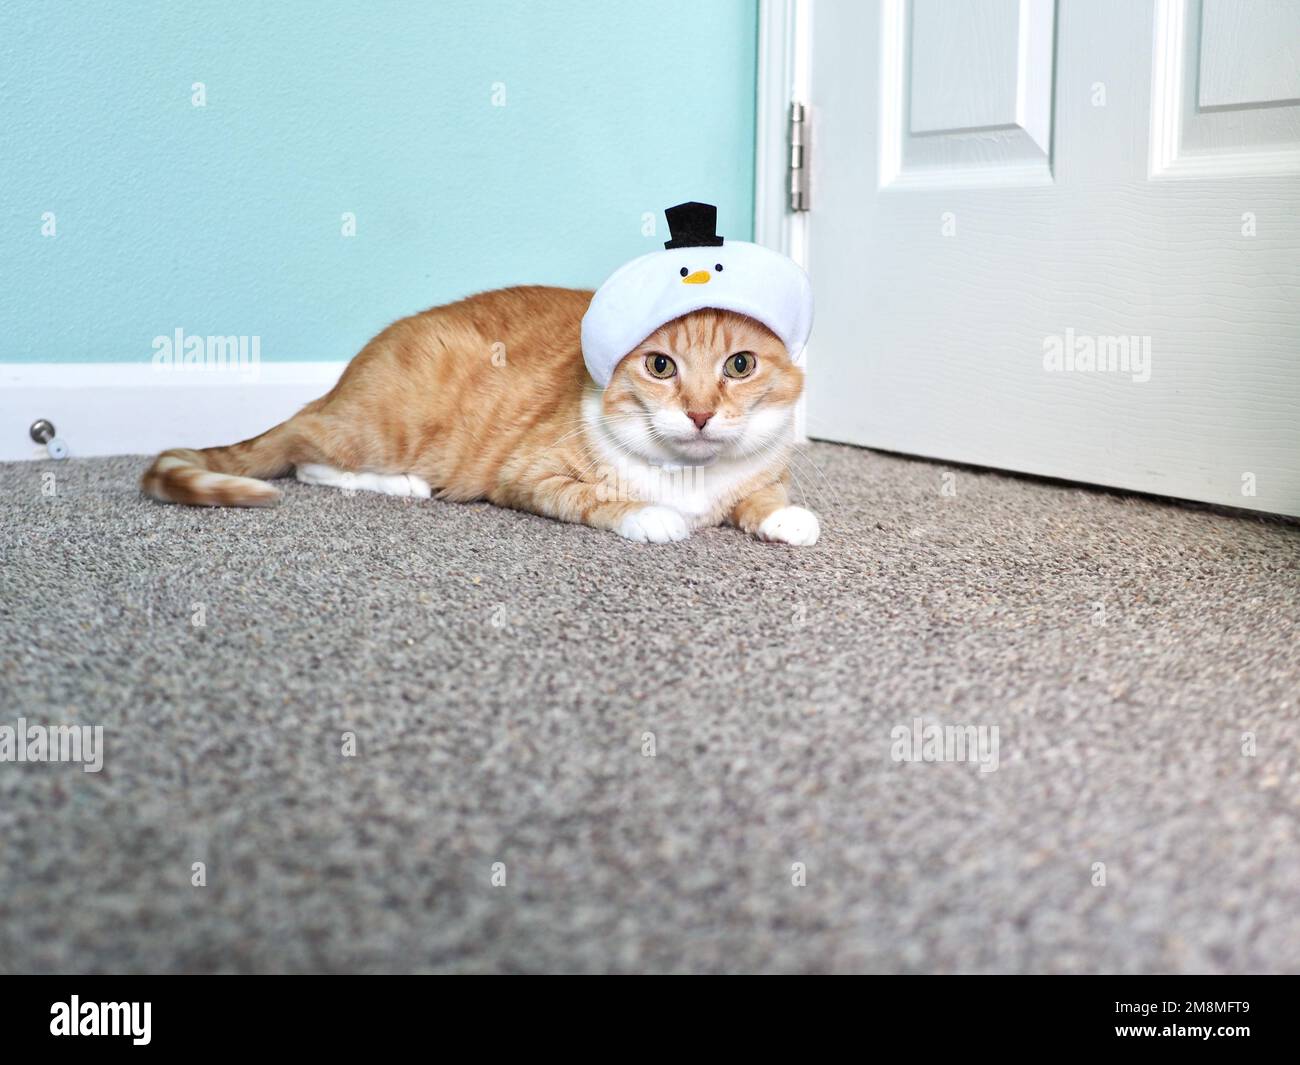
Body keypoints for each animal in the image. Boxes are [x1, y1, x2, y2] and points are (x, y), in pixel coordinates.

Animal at [139, 284, 811, 540]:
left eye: (740, 366)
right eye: (661, 367)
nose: (700, 414)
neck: (691, 477)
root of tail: (338, 383)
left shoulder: (765, 474)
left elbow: (762, 496)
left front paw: (785, 519)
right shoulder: (529, 478)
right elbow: (603, 499)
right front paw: (653, 516)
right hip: (376, 428)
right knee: (307, 456)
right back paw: (403, 484)